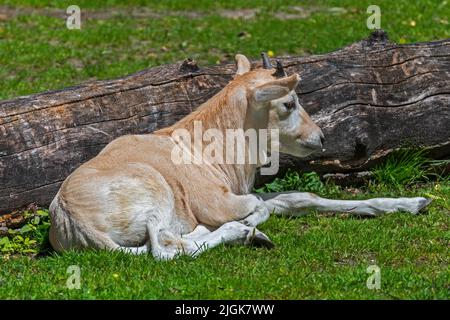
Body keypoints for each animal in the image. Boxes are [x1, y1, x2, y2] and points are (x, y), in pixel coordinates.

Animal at [47, 52, 430, 258]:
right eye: (289, 102)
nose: (319, 137)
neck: (202, 147)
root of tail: (72, 218)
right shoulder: (224, 202)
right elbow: (260, 207)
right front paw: (248, 225)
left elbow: (300, 197)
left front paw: (414, 203)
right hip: (156, 193)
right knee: (164, 247)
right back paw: (244, 233)